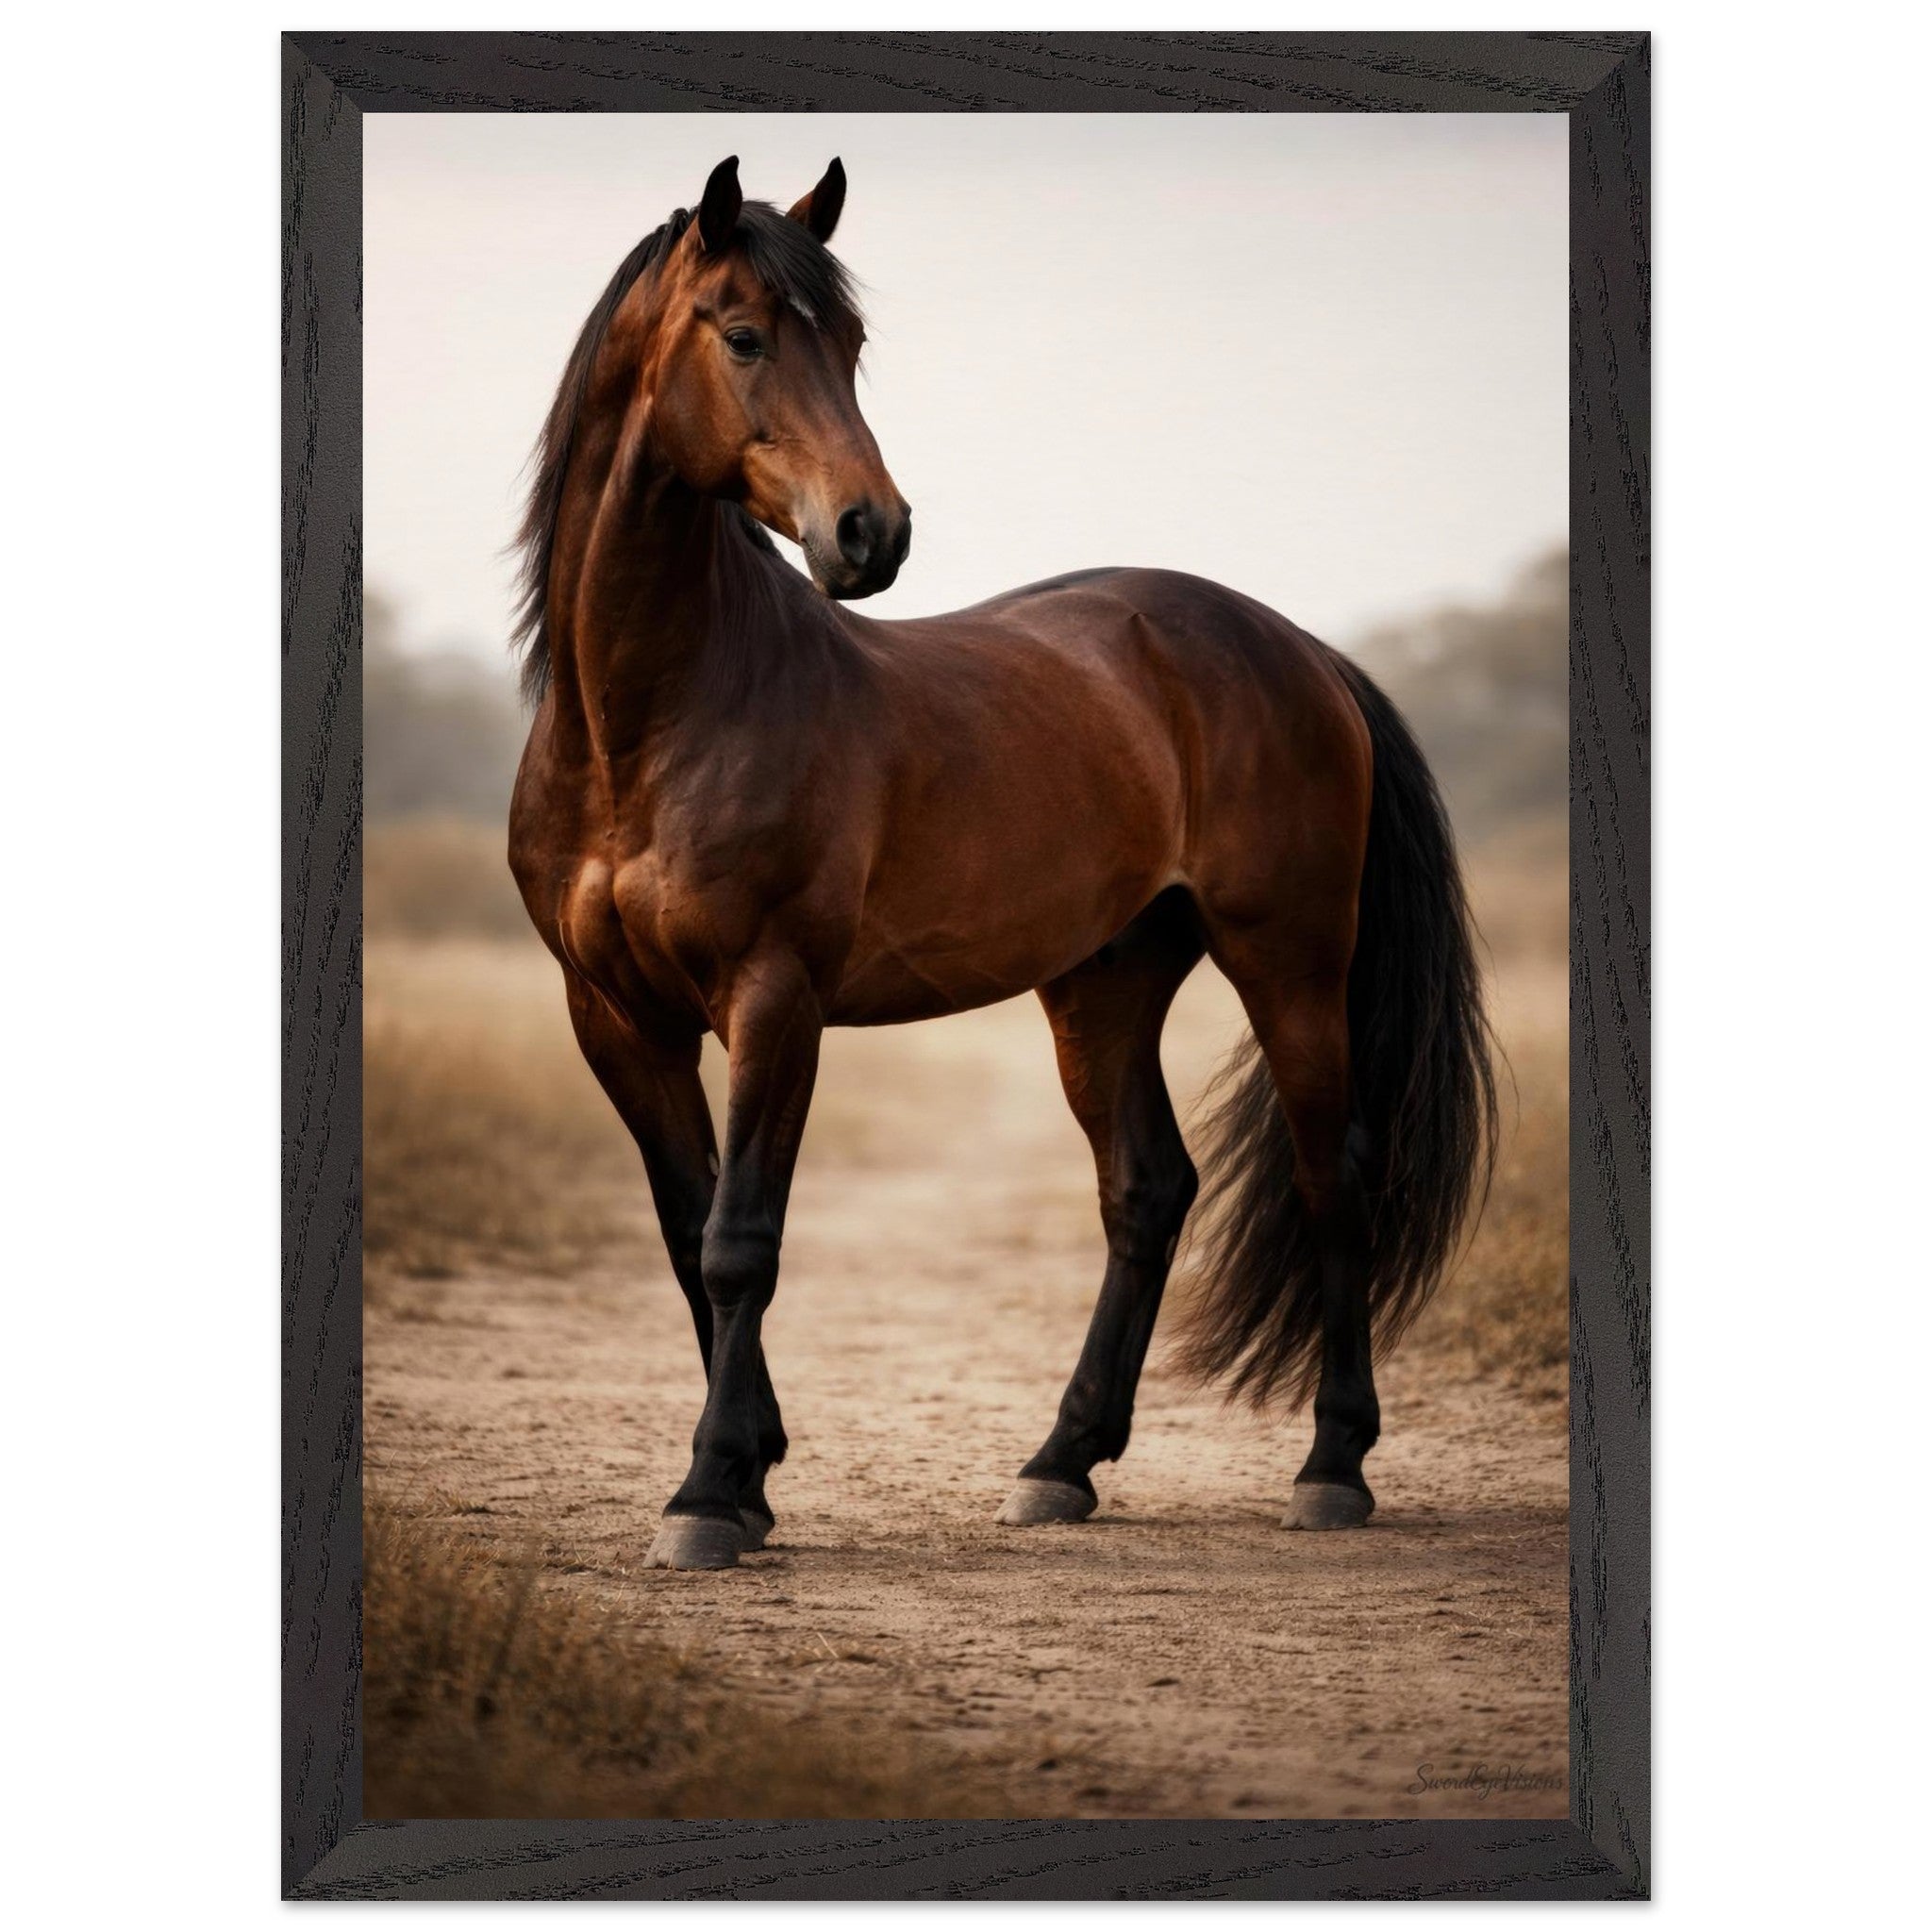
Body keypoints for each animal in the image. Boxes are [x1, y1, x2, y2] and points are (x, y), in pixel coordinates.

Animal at [507, 157, 1497, 1570]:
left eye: (852, 343)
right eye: (743, 335)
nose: (871, 534)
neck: (649, 721)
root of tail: (1298, 646)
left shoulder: (773, 999)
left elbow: (742, 1239)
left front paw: (706, 1494)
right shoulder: (615, 1019)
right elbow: (687, 1233)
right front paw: (746, 1477)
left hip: (1289, 963)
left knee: (1333, 1175)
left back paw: (1332, 1466)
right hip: (1104, 981)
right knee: (1147, 1190)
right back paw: (1059, 1462)